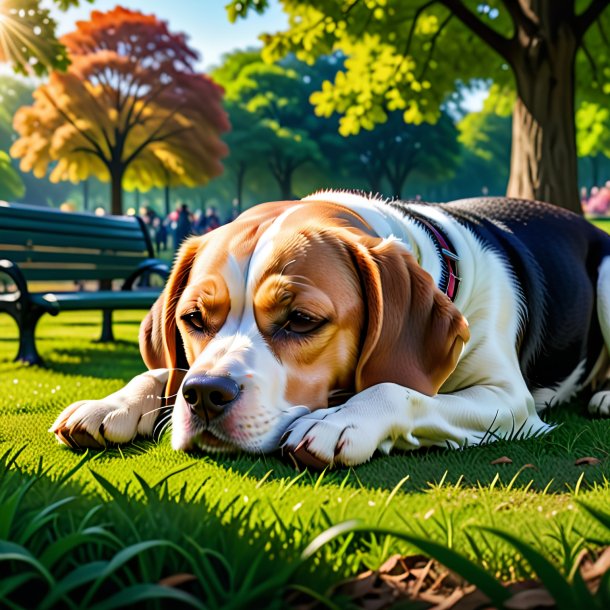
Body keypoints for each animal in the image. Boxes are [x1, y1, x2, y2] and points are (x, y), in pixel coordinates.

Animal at [50, 194, 608, 466]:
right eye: (193, 319)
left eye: (301, 320)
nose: (205, 394)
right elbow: (164, 372)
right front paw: (112, 403)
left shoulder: (509, 400)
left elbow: (398, 388)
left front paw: (341, 421)